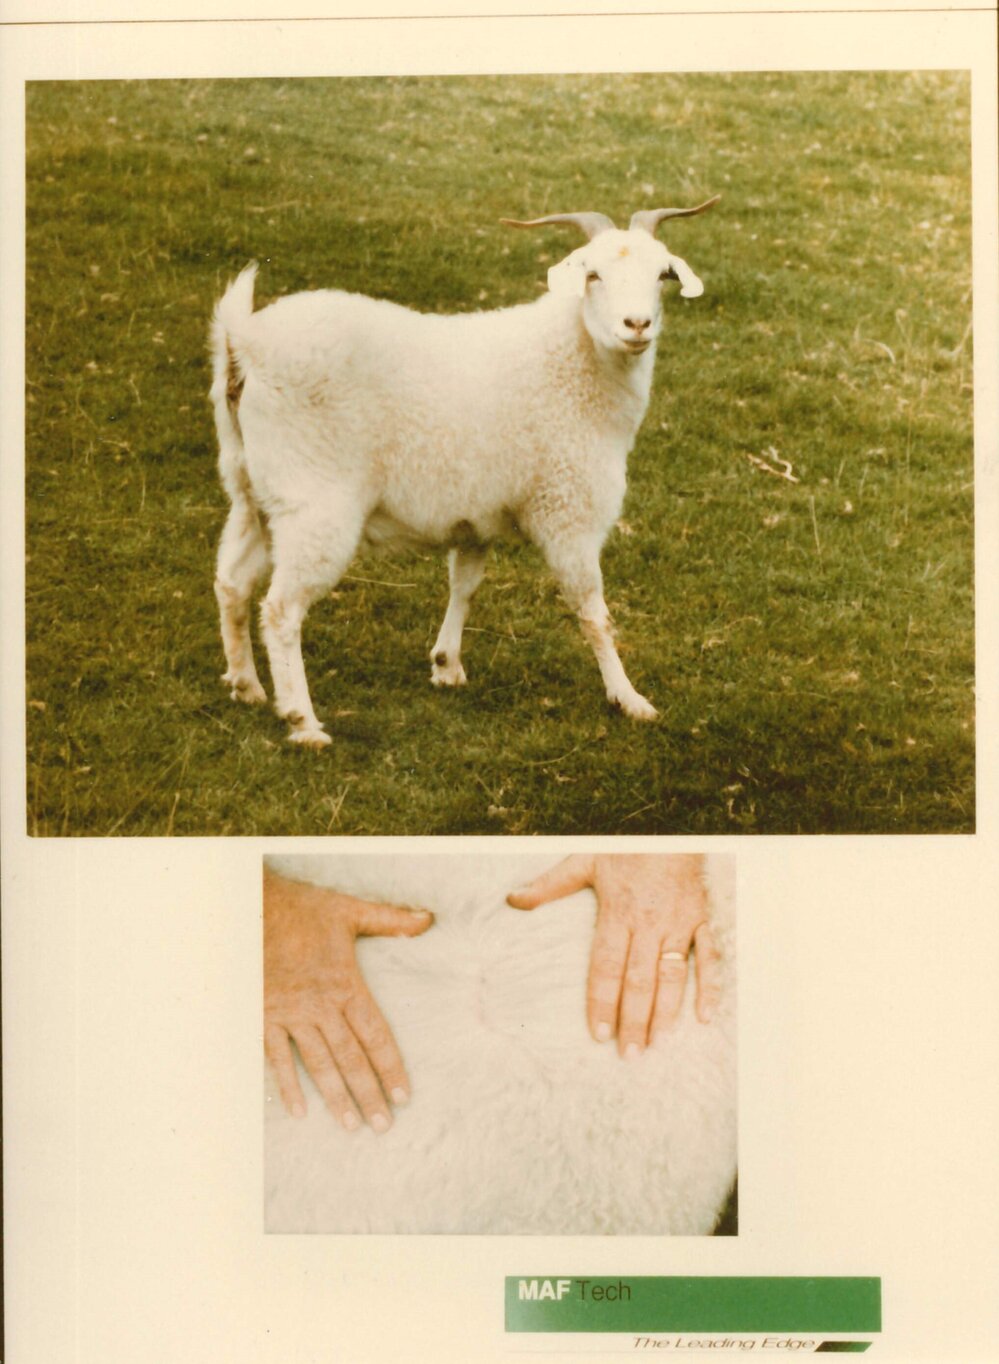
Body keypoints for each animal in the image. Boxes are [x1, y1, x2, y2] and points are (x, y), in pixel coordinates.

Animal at [210, 197, 719, 747]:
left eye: (662, 275)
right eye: (593, 274)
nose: (637, 325)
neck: (572, 360)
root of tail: (244, 344)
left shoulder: (475, 515)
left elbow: (465, 585)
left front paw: (446, 663)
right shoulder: (569, 512)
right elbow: (594, 614)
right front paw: (628, 697)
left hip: (253, 492)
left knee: (232, 583)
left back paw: (245, 685)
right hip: (314, 502)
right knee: (281, 610)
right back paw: (301, 719)